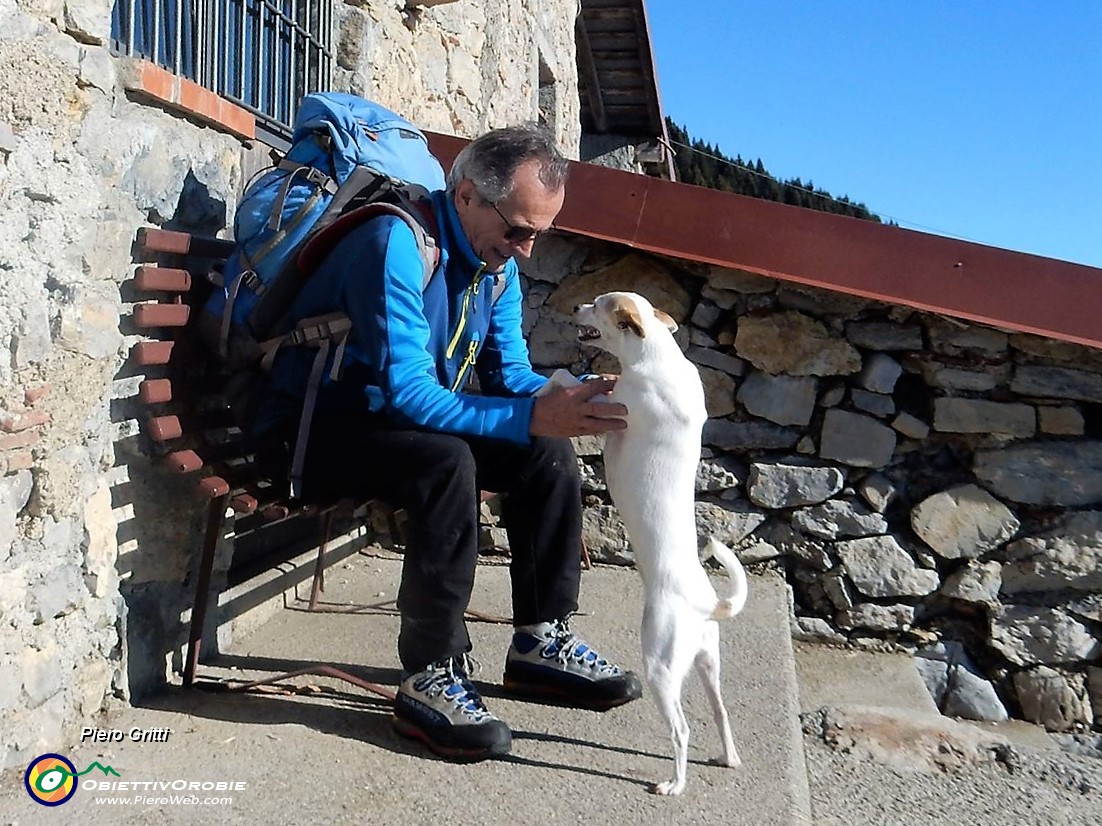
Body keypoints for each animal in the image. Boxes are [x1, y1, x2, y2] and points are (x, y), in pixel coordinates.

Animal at [577, 290, 749, 797]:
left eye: (597, 305)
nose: (574, 307)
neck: (655, 356)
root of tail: (705, 603)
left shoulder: (613, 407)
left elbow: (582, 384)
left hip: (660, 666)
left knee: (682, 730)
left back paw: (674, 784)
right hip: (708, 665)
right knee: (720, 713)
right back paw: (728, 757)